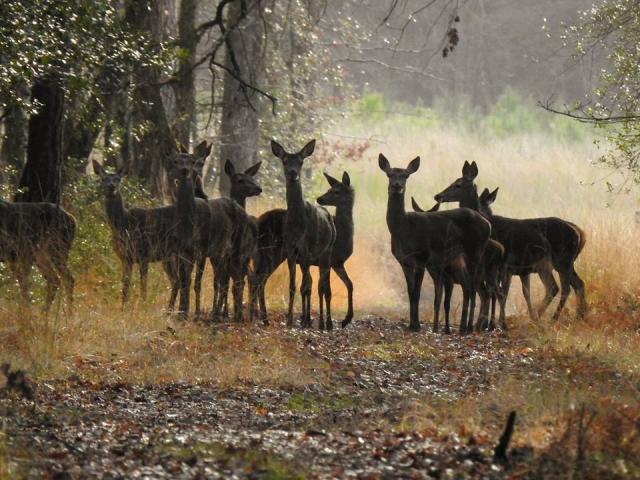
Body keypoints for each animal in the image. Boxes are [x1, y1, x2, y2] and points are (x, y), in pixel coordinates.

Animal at [270, 137, 338, 328]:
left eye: (300, 161)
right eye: (285, 160)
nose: (293, 173)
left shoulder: (306, 249)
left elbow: (305, 286)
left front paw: (303, 320)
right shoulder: (291, 250)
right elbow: (294, 286)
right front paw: (290, 319)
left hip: (327, 252)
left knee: (323, 286)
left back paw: (325, 323)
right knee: (314, 283)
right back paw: (309, 319)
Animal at [318, 172, 358, 330]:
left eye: (336, 191)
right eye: (329, 189)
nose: (319, 199)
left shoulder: (337, 263)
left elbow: (350, 284)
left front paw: (346, 319)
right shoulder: (328, 261)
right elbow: (326, 291)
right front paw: (328, 323)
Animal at [376, 156, 490, 332]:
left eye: (406, 176)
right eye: (389, 174)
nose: (397, 186)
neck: (404, 229)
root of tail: (487, 224)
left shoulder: (422, 257)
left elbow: (417, 293)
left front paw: (416, 326)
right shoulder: (404, 261)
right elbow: (410, 292)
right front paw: (411, 324)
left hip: (475, 251)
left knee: (472, 287)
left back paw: (469, 328)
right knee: (470, 287)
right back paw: (464, 327)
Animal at [410, 199, 504, 330]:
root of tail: (501, 250)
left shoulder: (449, 279)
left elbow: (446, 302)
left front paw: (446, 328)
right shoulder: (438, 278)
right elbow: (437, 301)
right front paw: (436, 327)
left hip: (489, 273)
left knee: (496, 294)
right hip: (485, 277)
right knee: (486, 294)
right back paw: (481, 325)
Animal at [436, 160, 584, 322]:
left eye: (458, 184)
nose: (438, 196)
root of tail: (579, 234)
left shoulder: (506, 264)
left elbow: (502, 293)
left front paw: (499, 321)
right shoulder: (512, 269)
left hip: (559, 261)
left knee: (561, 287)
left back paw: (547, 317)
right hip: (561, 263)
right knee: (574, 285)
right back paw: (576, 316)